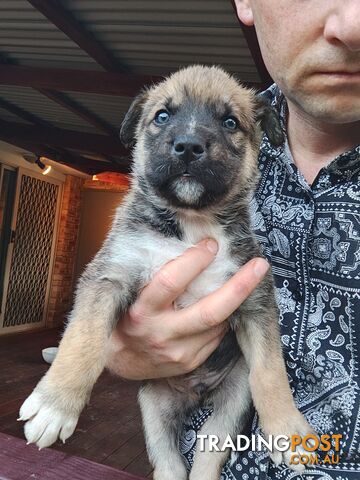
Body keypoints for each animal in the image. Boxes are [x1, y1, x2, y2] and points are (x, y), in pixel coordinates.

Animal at [19, 66, 316, 480]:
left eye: (229, 122)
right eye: (162, 116)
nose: (189, 146)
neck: (192, 224)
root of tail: (194, 392)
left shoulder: (255, 301)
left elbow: (271, 372)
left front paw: (288, 430)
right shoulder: (110, 276)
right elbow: (83, 339)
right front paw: (54, 405)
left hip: (231, 402)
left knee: (208, 451)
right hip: (154, 408)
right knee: (169, 461)